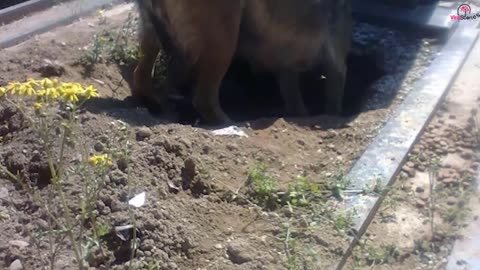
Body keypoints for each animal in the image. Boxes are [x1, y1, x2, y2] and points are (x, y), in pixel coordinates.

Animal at [131, 0, 352, 124]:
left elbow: (297, 103)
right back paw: (229, 125)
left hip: (152, 34)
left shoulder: (288, 70)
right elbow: (333, 104)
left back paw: (152, 102)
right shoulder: (336, 66)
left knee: (141, 75)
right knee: (204, 99)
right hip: (225, 39)